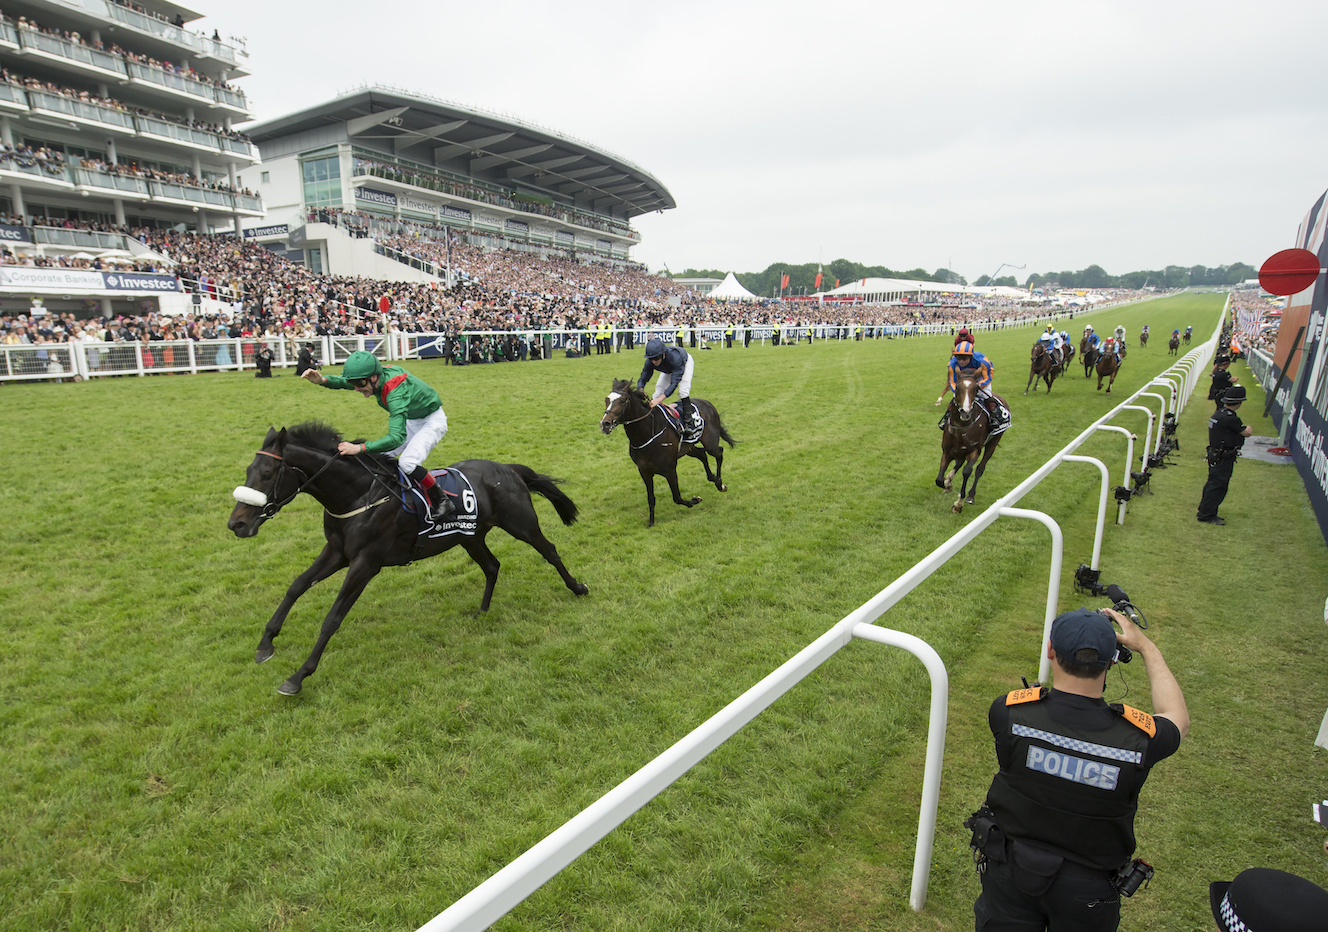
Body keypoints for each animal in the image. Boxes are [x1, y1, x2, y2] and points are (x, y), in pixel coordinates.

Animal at [229, 424, 592, 695]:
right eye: (248, 470)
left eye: (266, 473)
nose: (237, 524)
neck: (358, 495)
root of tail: (507, 468)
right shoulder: (337, 552)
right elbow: (296, 586)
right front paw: (265, 644)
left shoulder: (366, 563)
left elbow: (332, 618)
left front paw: (297, 677)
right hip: (470, 536)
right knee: (492, 566)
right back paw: (482, 611)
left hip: (521, 524)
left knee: (549, 550)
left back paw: (578, 588)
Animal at [600, 377, 738, 525]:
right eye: (607, 400)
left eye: (622, 401)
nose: (605, 424)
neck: (647, 434)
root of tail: (708, 403)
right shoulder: (644, 471)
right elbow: (651, 498)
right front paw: (651, 522)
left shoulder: (670, 469)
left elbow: (677, 497)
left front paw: (695, 500)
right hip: (688, 447)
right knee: (702, 454)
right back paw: (712, 478)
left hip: (710, 442)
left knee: (719, 452)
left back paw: (719, 483)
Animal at [934, 377, 1003, 515]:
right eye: (957, 388)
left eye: (976, 388)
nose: (965, 412)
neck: (961, 427)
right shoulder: (947, 451)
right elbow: (939, 479)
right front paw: (947, 484)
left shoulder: (974, 452)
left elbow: (967, 471)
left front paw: (958, 505)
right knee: (959, 462)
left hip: (993, 443)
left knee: (980, 468)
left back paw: (971, 496)